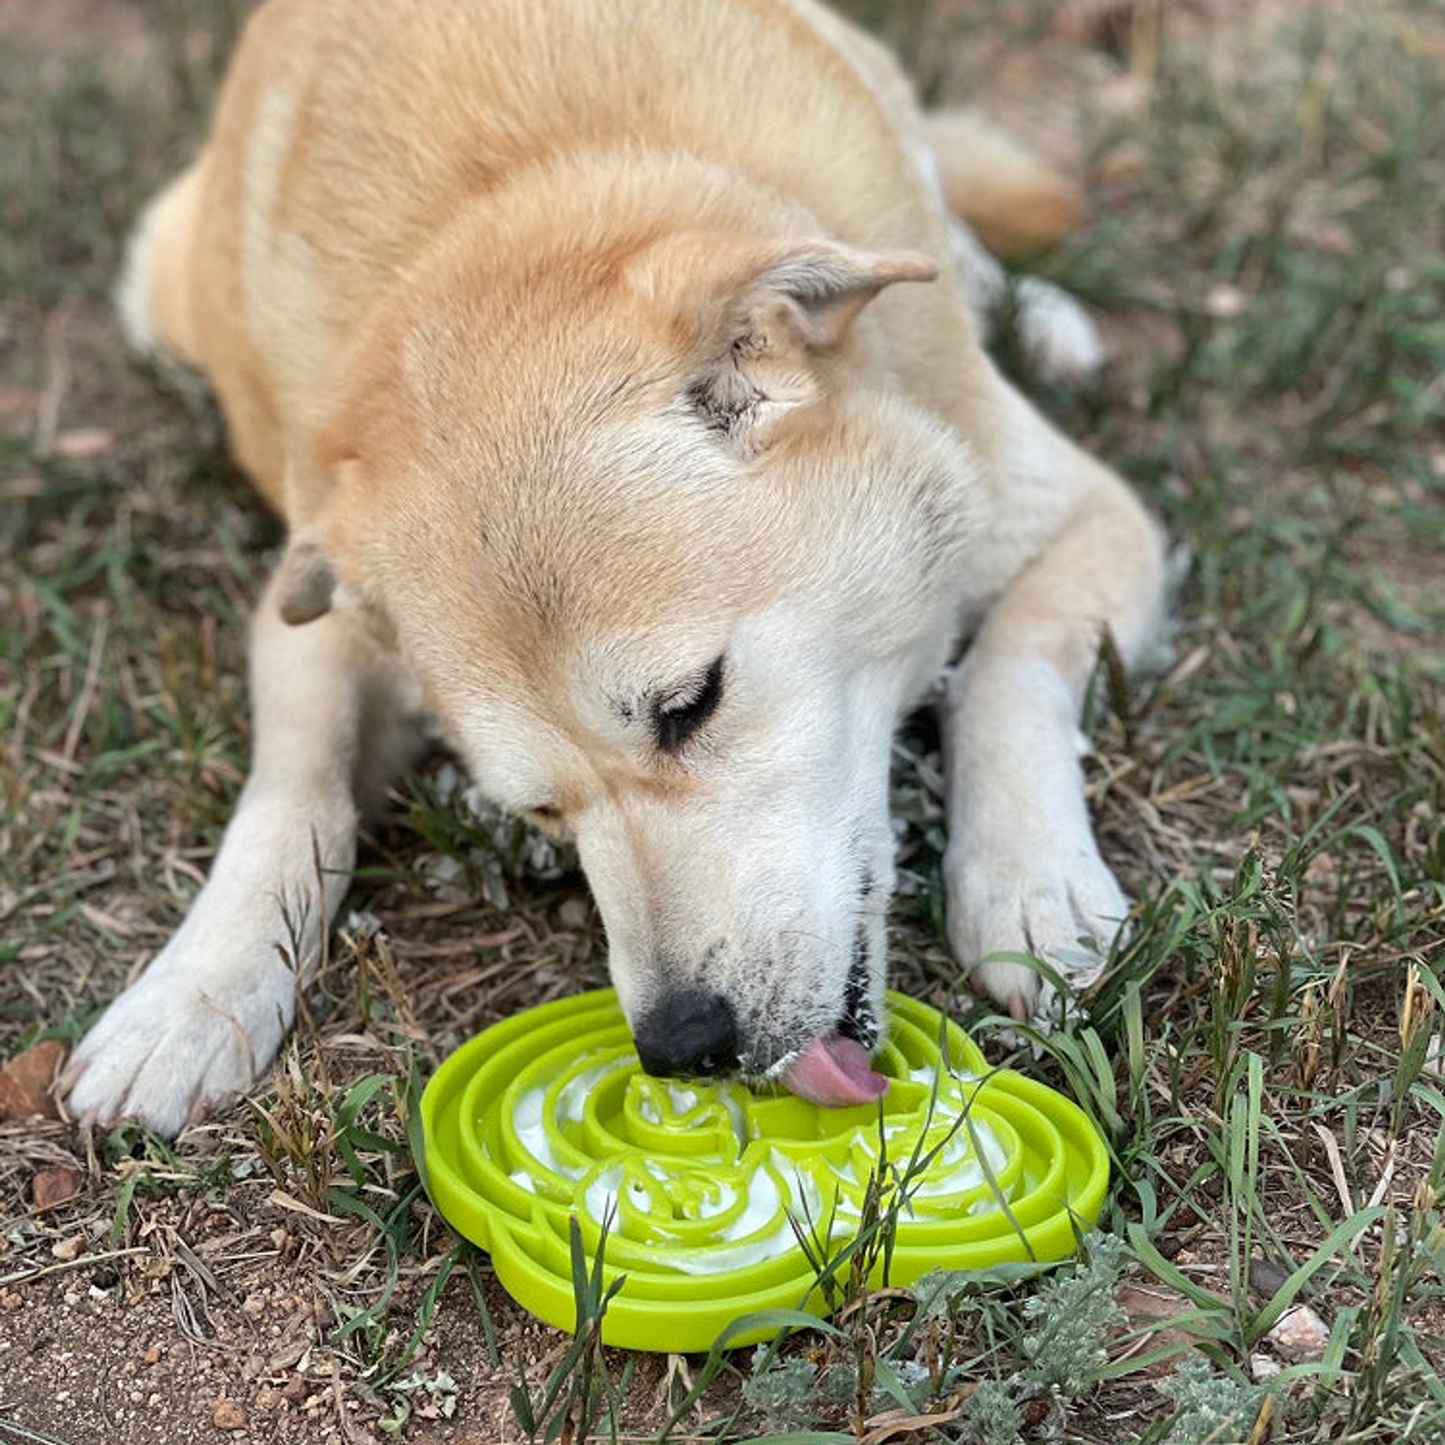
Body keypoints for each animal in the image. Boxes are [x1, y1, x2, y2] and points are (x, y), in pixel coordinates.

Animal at [70, 0, 1173, 1132]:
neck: (511, 202)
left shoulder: (1090, 514)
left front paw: (1027, 877)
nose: (684, 1043)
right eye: (540, 809)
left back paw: (1030, 310)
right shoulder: (309, 612)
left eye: (691, 703)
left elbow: (1008, 667)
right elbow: (294, 786)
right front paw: (195, 987)